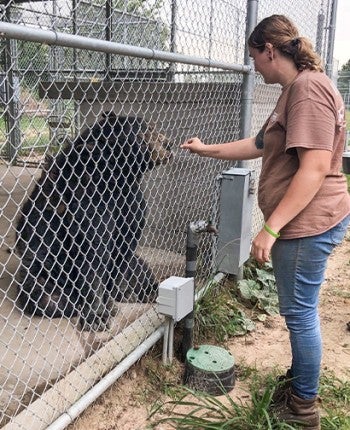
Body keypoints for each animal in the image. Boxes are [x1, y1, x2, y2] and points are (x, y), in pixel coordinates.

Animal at [15, 112, 172, 330]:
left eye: (153, 126)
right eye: (146, 130)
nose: (169, 144)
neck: (117, 178)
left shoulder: (132, 201)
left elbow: (124, 247)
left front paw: (114, 295)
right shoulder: (89, 197)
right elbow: (92, 252)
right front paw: (97, 315)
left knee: (139, 267)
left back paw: (142, 290)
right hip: (43, 270)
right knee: (44, 295)